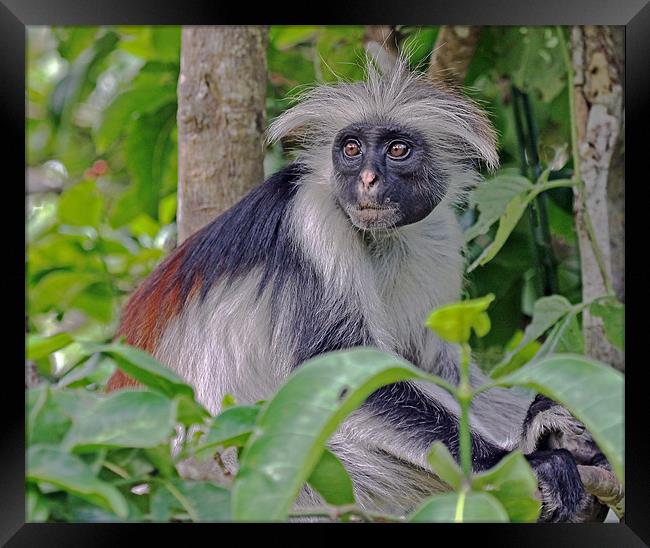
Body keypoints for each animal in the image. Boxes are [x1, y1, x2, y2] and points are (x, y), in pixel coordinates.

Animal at [106, 56, 608, 524]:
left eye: (398, 149)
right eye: (351, 149)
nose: (367, 178)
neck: (377, 238)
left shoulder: (439, 233)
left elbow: (437, 366)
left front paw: (546, 424)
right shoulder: (314, 217)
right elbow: (343, 373)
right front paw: (522, 457)